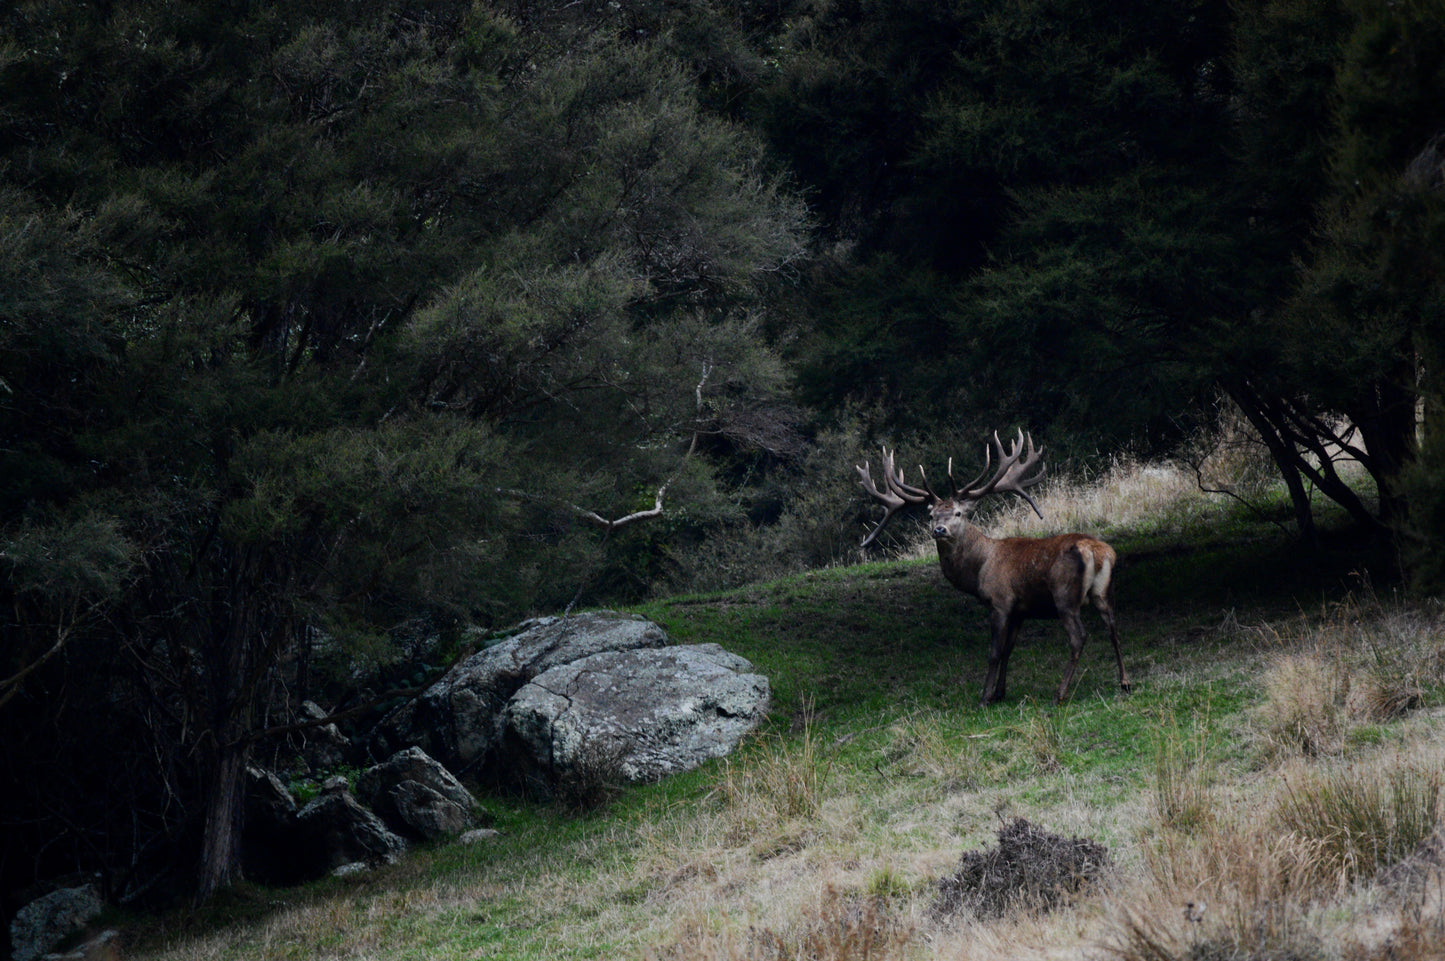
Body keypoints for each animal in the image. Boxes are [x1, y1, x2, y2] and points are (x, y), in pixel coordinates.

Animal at [856, 429, 1129, 706]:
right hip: (1104, 592)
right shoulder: (1019, 610)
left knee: (1078, 637)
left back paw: (1060, 693)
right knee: (1114, 629)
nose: (939, 530)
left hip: (1065, 595)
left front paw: (985, 696)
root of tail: (1098, 552)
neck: (978, 569)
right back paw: (1125, 682)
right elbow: (1009, 649)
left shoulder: (1000, 601)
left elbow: (994, 652)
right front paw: (1000, 692)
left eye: (958, 513)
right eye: (931, 516)